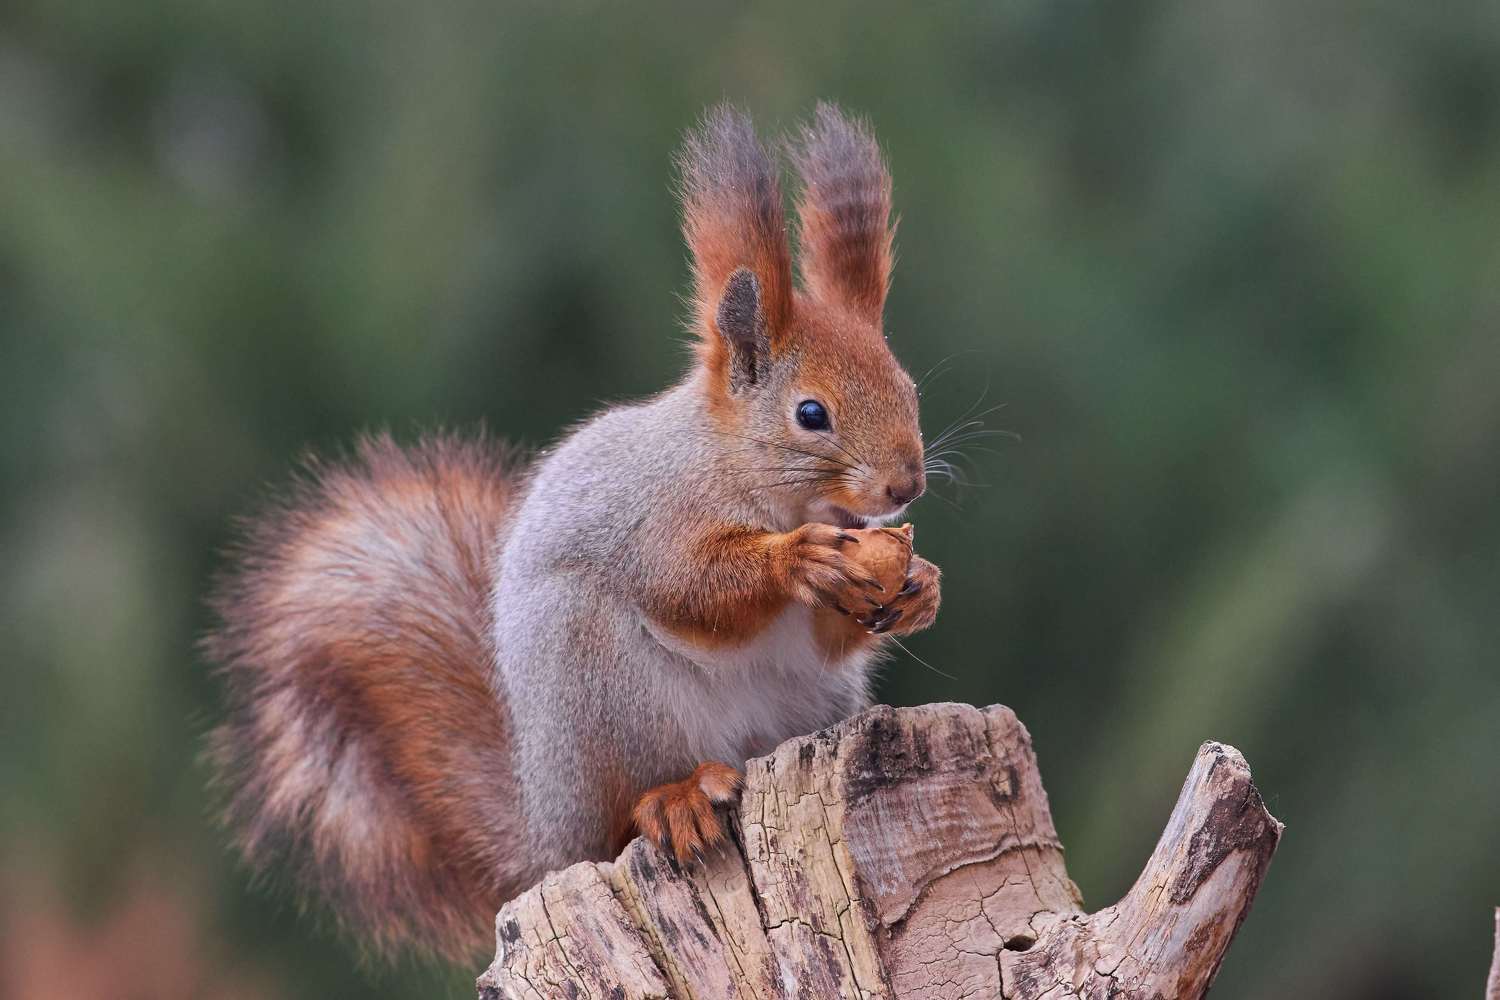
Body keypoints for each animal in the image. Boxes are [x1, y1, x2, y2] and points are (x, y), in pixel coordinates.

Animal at [205, 102, 941, 963]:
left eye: (908, 387)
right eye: (811, 414)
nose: (905, 486)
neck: (747, 474)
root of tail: (548, 829)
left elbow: (832, 631)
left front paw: (918, 587)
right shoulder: (648, 518)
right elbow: (691, 589)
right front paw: (797, 560)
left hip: (808, 706)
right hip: (601, 688)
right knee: (626, 810)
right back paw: (675, 799)